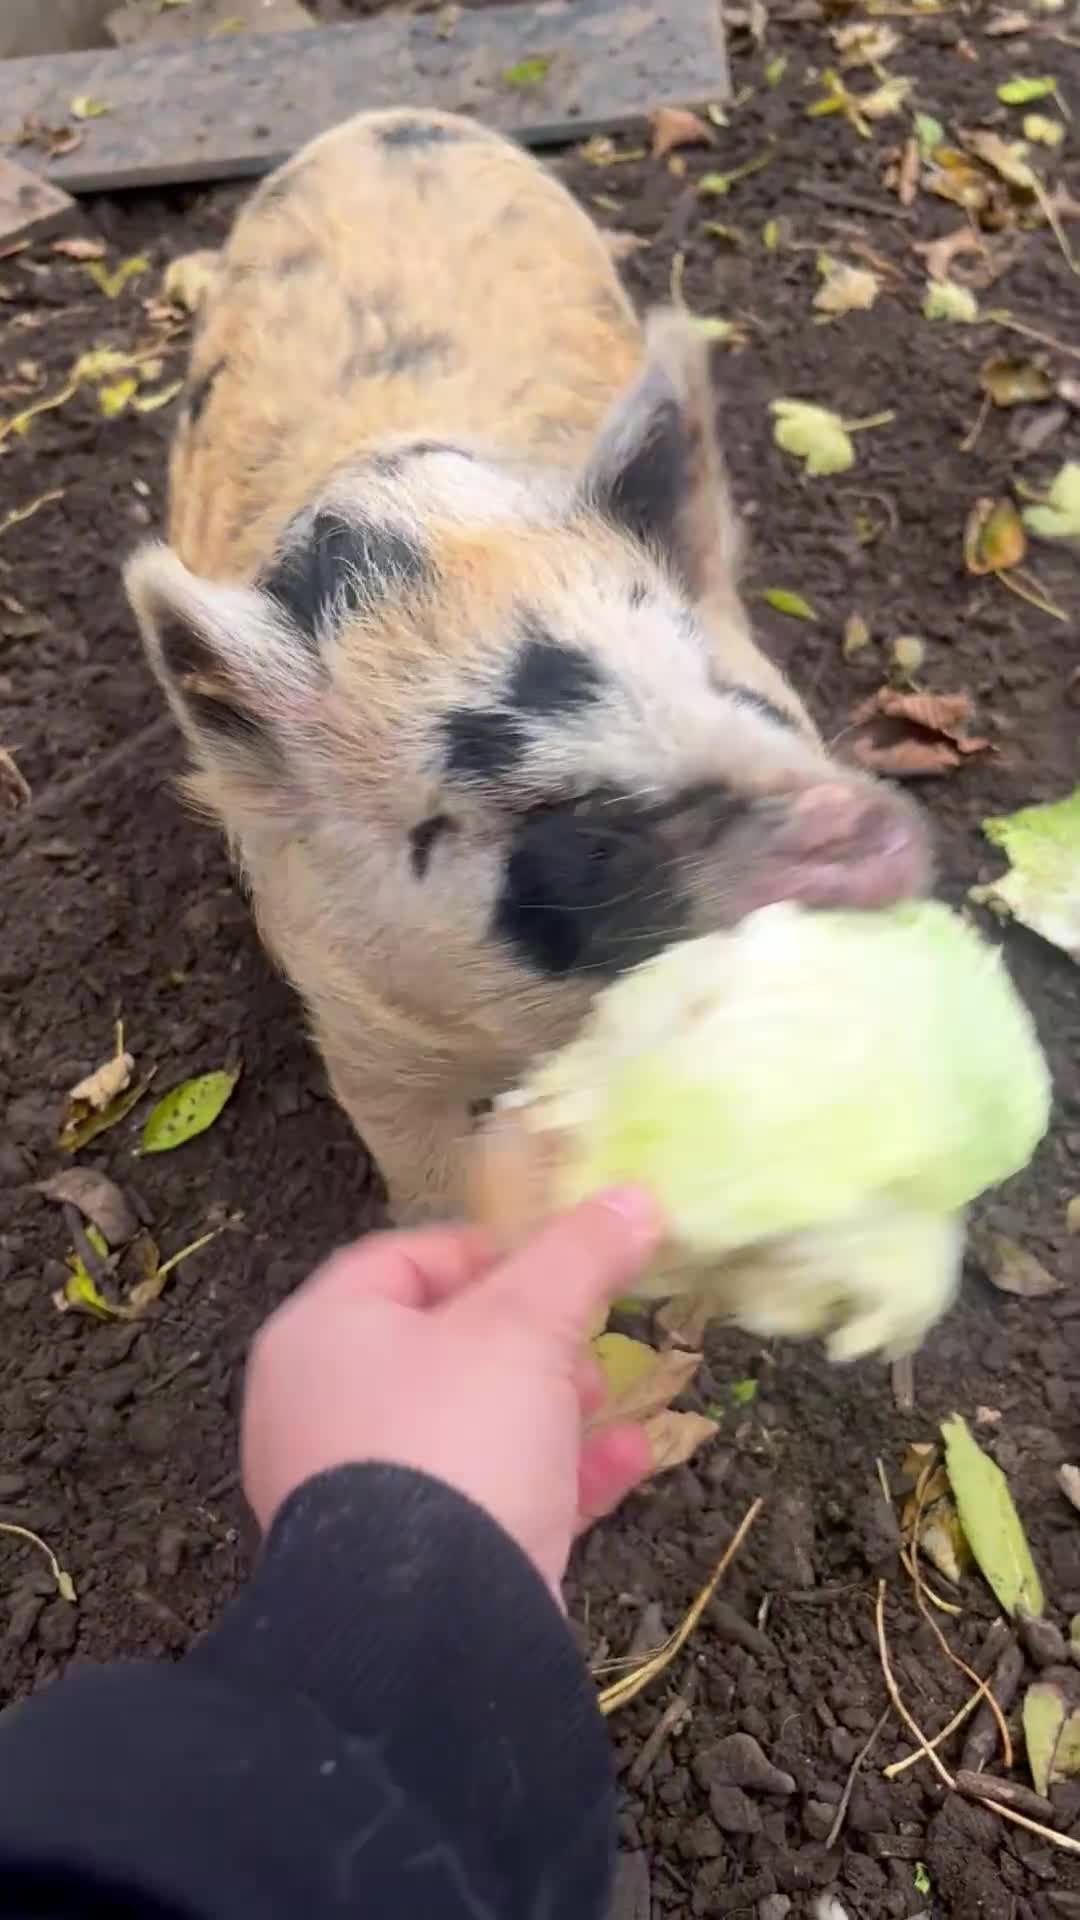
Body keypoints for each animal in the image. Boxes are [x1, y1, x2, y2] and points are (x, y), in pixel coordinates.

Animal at [125, 107, 930, 1224]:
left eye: (738, 692)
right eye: (570, 824)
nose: (855, 828)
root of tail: (384, 118)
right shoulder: (359, 1019)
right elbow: (425, 1166)